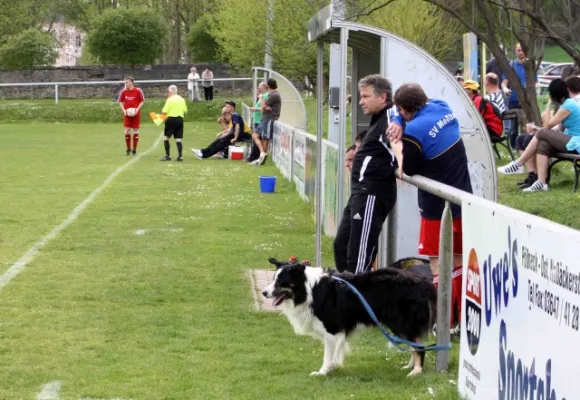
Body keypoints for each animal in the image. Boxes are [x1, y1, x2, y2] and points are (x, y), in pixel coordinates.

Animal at [262, 258, 436, 376]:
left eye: (281, 282)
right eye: (273, 279)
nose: (264, 292)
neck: (310, 290)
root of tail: (422, 282)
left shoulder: (331, 329)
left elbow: (328, 354)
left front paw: (323, 372)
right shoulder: (338, 331)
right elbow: (337, 351)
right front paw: (333, 367)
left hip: (401, 323)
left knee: (419, 347)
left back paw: (416, 371)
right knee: (413, 345)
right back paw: (410, 366)